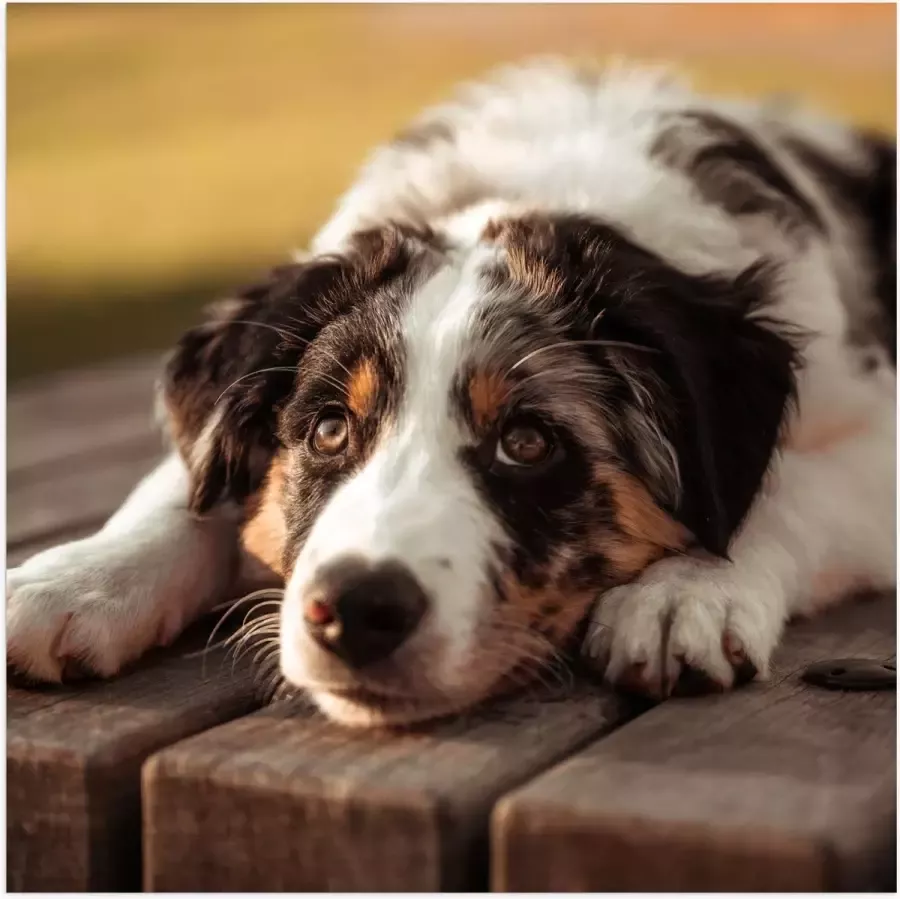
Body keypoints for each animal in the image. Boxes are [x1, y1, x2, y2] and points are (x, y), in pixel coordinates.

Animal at [5, 59, 892, 728]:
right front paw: (74, 580)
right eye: (328, 429)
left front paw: (687, 590)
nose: (354, 609)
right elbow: (183, 489)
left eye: (527, 441)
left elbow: (790, 485)